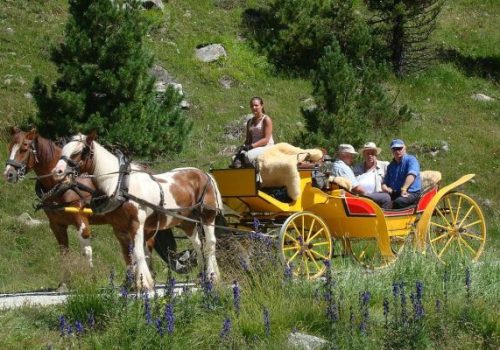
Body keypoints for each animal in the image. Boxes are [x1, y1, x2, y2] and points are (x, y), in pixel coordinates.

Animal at [4, 127, 174, 280]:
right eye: (9, 147)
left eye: (24, 148)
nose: (8, 174)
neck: (64, 185)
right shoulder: (56, 224)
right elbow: (64, 253)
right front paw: (64, 283)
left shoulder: (80, 218)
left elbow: (86, 250)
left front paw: (91, 279)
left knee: (147, 247)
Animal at [51, 133, 222, 292]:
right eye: (63, 150)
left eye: (79, 151)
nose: (56, 172)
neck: (119, 185)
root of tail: (205, 174)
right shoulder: (119, 229)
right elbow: (127, 255)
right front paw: (131, 284)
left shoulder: (136, 225)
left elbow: (139, 253)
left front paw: (144, 284)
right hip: (187, 222)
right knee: (198, 244)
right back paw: (202, 276)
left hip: (208, 217)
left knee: (210, 244)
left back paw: (212, 277)